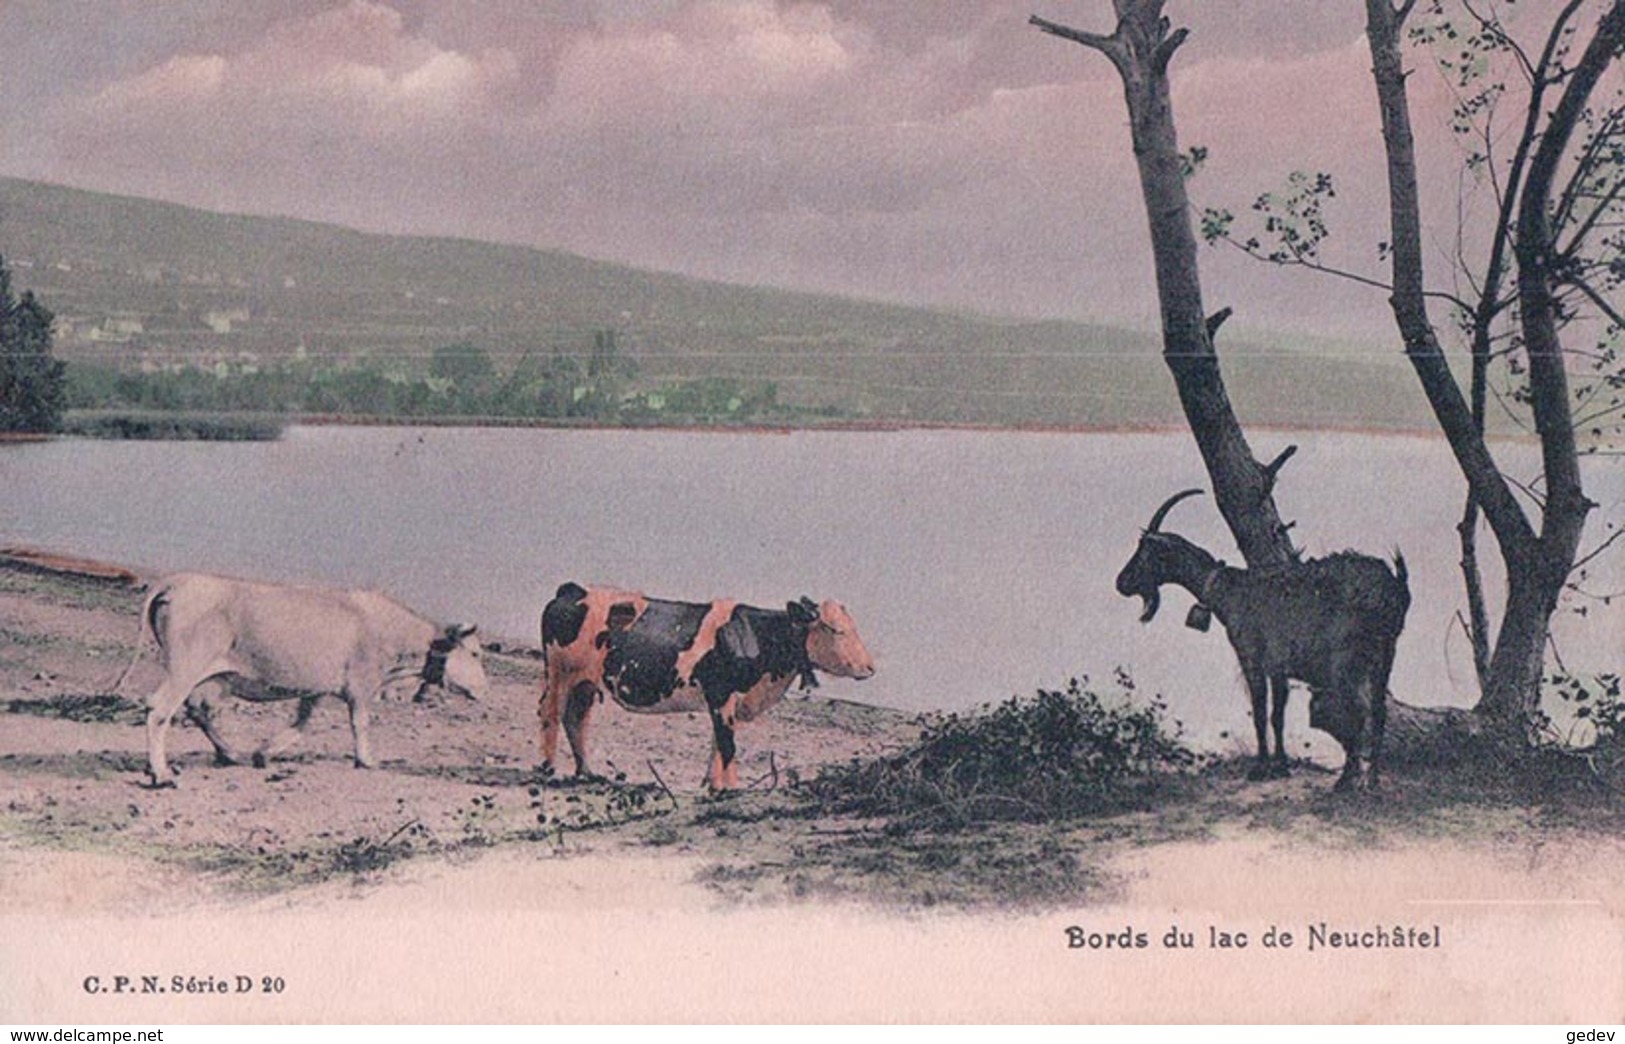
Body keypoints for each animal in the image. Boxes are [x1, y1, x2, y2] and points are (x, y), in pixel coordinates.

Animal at [123, 572, 484, 783]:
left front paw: (264, 752)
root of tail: (177, 580)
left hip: (203, 677)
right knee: (159, 710)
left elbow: (301, 725)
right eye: (476, 654)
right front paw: (366, 760)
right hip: (185, 667)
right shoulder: (361, 685)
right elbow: (360, 723)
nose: (485, 688)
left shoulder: (316, 687)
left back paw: (229, 754)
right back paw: (162, 773)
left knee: (196, 711)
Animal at [1118, 487, 1410, 787]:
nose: (1122, 582)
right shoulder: (1278, 668)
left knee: (1356, 713)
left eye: (1145, 550)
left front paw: (1259, 768)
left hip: (1345, 662)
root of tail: (1395, 585)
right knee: (1378, 711)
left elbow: (1259, 713)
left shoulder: (1251, 658)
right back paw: (1371, 779)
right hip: (1386, 655)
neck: (1230, 590)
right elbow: (1277, 715)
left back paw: (1346, 780)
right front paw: (1280, 766)